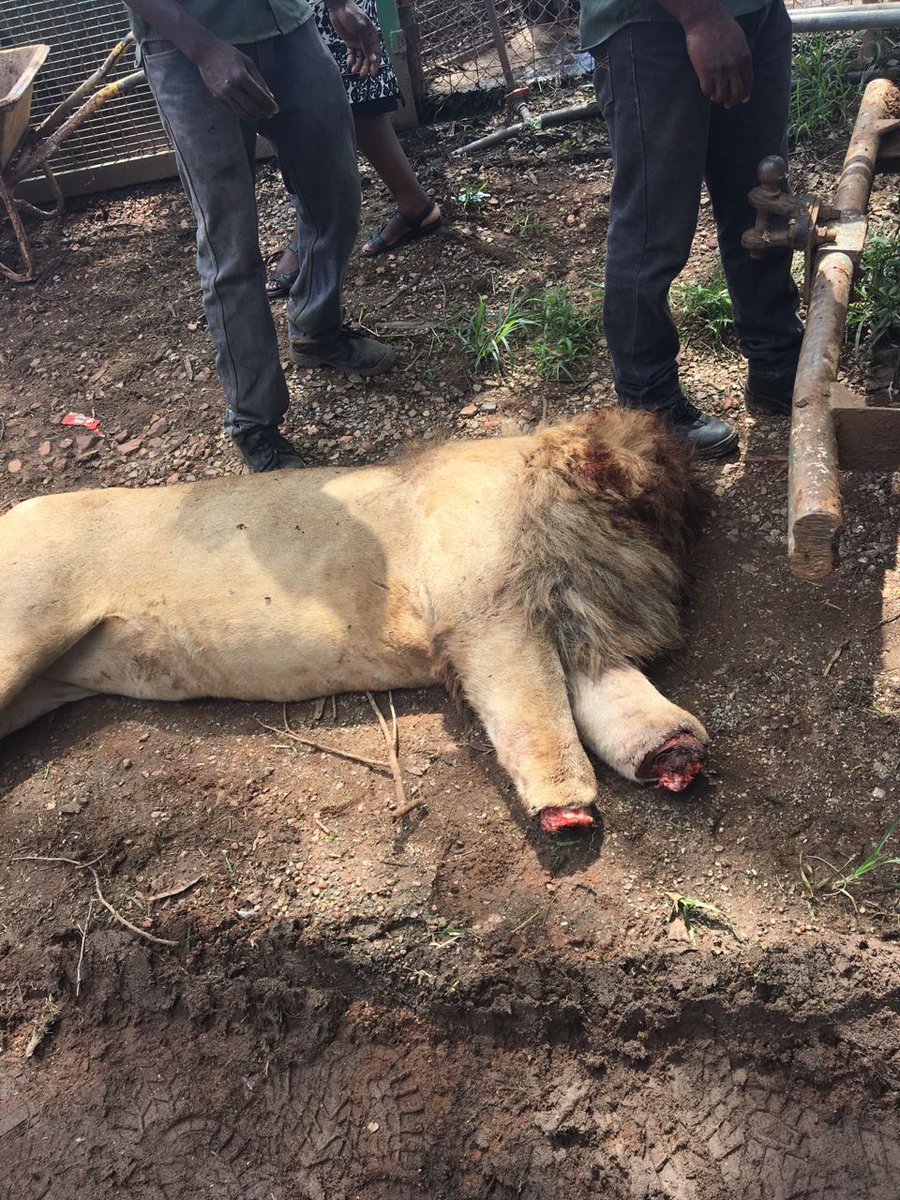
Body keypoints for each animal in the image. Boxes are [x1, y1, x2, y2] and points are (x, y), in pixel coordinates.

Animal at [0, 408, 709, 831]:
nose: (683, 546)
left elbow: (616, 698)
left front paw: (675, 753)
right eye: (660, 505)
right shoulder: (489, 616)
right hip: (24, 633)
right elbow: (537, 711)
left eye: (678, 516)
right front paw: (567, 808)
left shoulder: (573, 621)